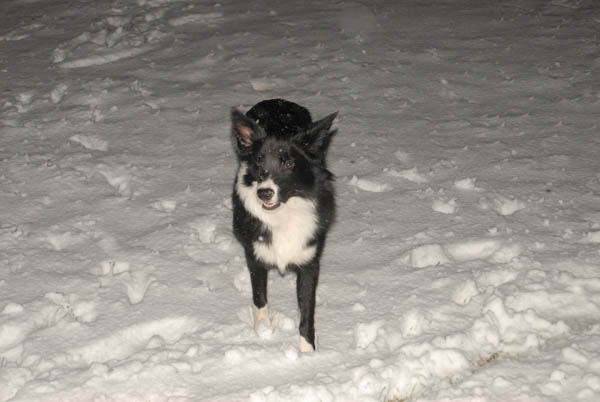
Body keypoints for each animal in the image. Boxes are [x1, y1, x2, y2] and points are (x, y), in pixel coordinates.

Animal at [231, 98, 338, 352]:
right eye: (258, 162)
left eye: (289, 163)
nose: (264, 193)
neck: (283, 215)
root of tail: (277, 101)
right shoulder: (255, 256)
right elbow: (259, 298)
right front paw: (262, 333)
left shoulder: (309, 263)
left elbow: (307, 312)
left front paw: (307, 353)